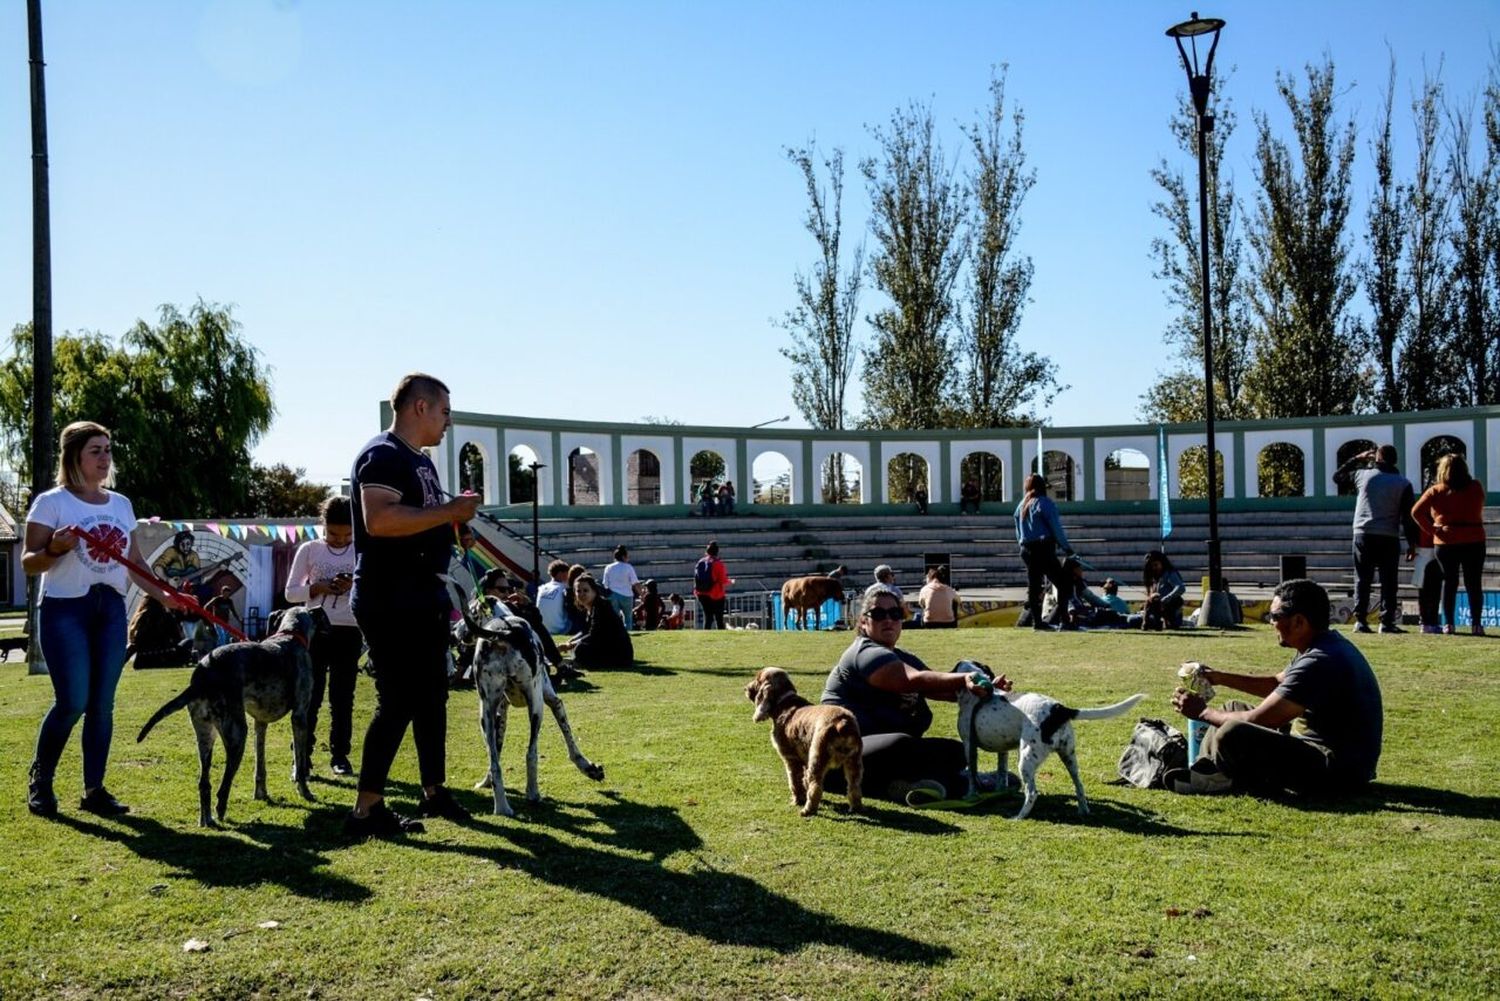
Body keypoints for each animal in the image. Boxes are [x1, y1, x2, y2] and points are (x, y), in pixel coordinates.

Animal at [137, 606, 328, 828]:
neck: (290, 635)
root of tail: (202, 678)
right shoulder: (300, 717)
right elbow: (300, 762)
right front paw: (305, 792)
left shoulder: (260, 723)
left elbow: (260, 766)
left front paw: (261, 794)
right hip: (237, 734)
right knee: (223, 788)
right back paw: (220, 812)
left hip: (205, 736)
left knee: (204, 783)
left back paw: (207, 820)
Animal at [444, 582, 603, 816]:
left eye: (470, 611)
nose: (453, 632)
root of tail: (502, 632)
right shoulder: (553, 702)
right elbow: (570, 743)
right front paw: (588, 768)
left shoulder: (500, 713)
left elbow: (496, 753)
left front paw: (486, 783)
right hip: (536, 707)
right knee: (531, 753)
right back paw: (533, 793)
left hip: (486, 714)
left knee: (495, 762)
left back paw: (502, 806)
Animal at [744, 669, 864, 816]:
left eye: (757, 680)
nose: (746, 688)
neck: (783, 702)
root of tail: (842, 722)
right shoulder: (804, 761)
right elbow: (804, 781)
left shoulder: (791, 759)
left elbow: (795, 782)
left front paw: (797, 800)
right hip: (854, 762)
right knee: (854, 786)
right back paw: (856, 808)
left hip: (817, 758)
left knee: (816, 786)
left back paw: (807, 810)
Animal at [954, 657, 1140, 822]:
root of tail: (1059, 709)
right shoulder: (1003, 750)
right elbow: (1002, 774)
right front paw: (1000, 792)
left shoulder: (969, 746)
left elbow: (972, 776)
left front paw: (971, 796)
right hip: (1069, 756)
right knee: (1079, 785)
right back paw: (1083, 811)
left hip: (1026, 759)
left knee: (1032, 792)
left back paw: (1019, 817)